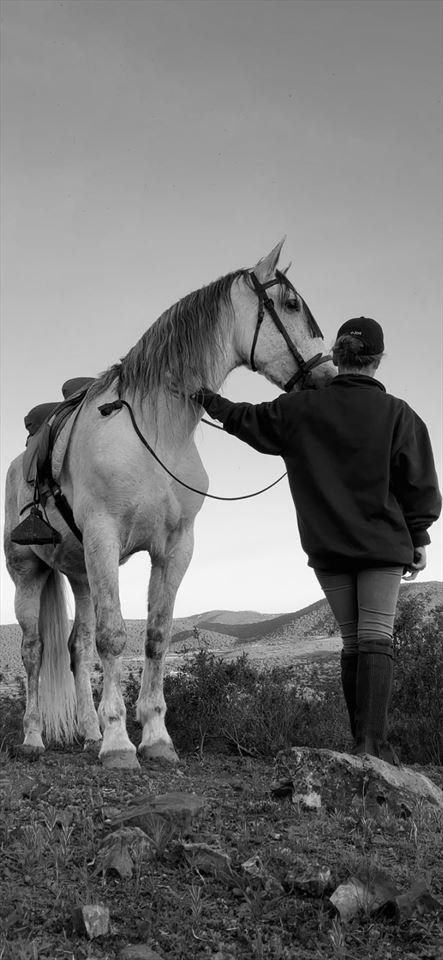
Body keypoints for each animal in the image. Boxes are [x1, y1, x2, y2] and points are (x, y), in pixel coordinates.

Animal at [4, 239, 335, 770]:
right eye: (289, 305)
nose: (326, 376)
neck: (154, 429)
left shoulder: (175, 548)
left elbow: (156, 636)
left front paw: (155, 737)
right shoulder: (104, 539)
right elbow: (115, 637)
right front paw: (120, 742)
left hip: (80, 574)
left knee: (76, 649)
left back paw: (87, 731)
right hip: (27, 571)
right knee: (34, 650)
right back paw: (34, 737)